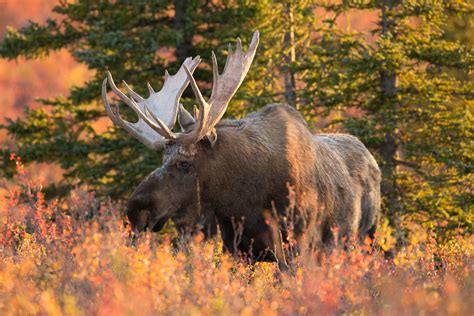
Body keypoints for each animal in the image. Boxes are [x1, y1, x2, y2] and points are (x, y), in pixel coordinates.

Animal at [102, 30, 380, 266]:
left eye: (184, 163)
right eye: (162, 159)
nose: (135, 210)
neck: (240, 199)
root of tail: (372, 158)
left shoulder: (295, 242)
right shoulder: (236, 247)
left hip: (364, 237)